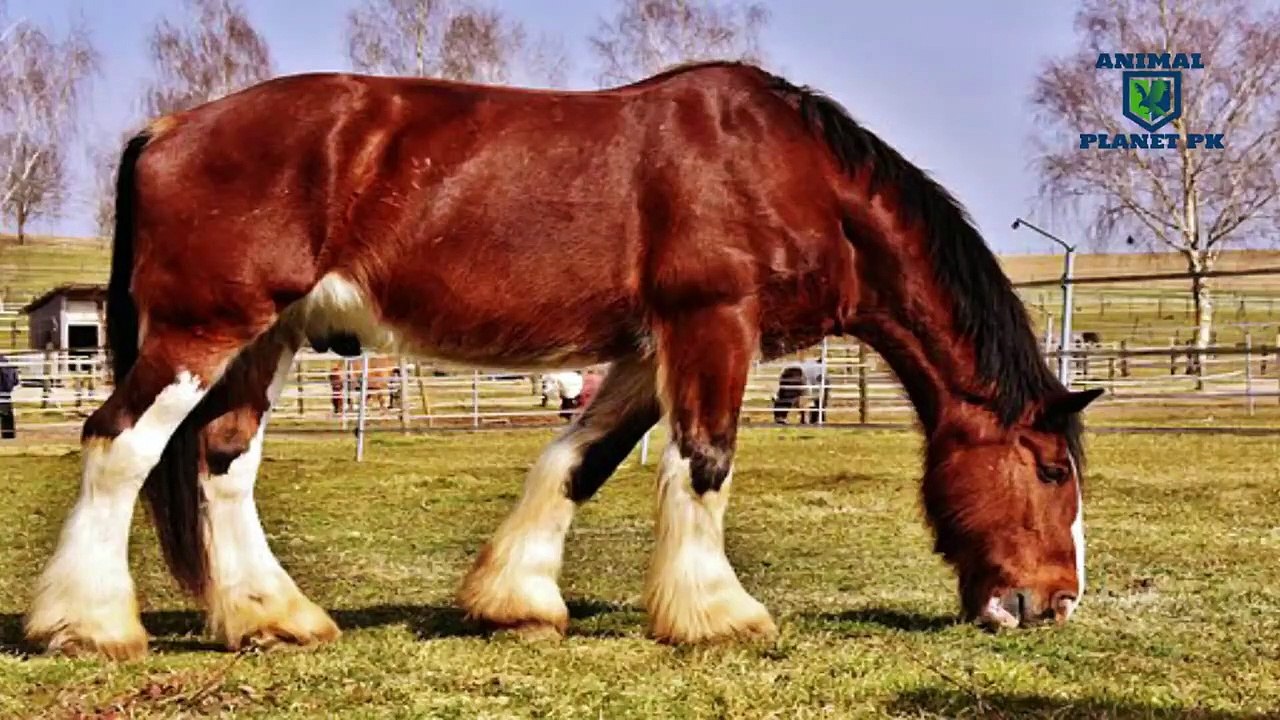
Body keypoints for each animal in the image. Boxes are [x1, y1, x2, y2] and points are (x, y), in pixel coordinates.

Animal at [25, 61, 1102, 660]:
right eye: (1051, 470)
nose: (1054, 605)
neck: (789, 173)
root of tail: (170, 127)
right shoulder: (712, 323)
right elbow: (703, 464)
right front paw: (716, 615)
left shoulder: (642, 348)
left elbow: (578, 460)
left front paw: (517, 600)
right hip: (203, 330)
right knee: (118, 445)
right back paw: (90, 625)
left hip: (265, 338)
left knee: (222, 460)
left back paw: (274, 618)